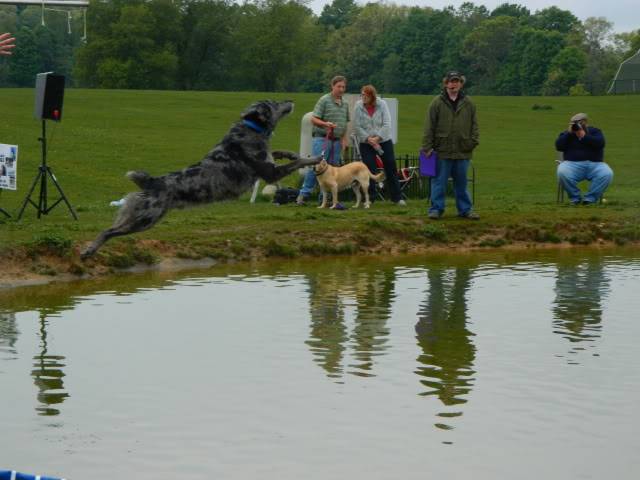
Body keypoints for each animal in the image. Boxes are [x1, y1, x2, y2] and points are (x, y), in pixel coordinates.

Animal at [80, 98, 320, 258]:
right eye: (274, 102)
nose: (290, 100)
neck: (250, 129)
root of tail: (153, 181)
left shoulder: (269, 164)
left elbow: (280, 153)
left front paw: (293, 153)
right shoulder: (270, 173)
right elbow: (296, 163)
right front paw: (315, 158)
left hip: (142, 217)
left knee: (110, 229)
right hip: (144, 219)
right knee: (109, 231)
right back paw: (88, 250)